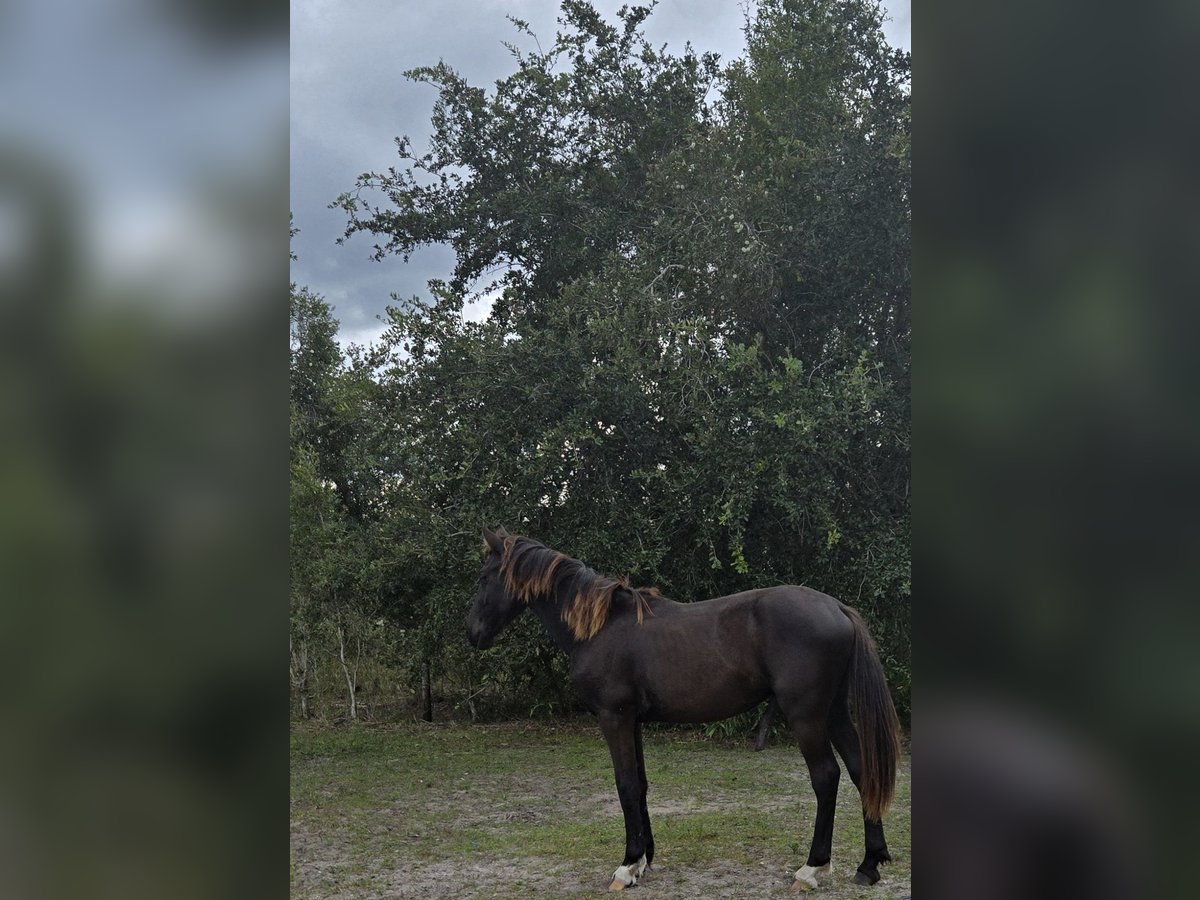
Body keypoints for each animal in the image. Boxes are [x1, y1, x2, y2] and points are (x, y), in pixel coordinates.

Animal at [465, 527, 901, 892]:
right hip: (834, 712)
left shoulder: (614, 717)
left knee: (826, 777)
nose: (473, 633)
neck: (602, 626)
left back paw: (811, 869)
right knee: (862, 771)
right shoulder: (633, 722)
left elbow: (625, 786)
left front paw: (626, 867)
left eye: (485, 577)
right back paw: (869, 864)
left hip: (806, 716)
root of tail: (838, 608)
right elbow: (640, 785)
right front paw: (643, 860)